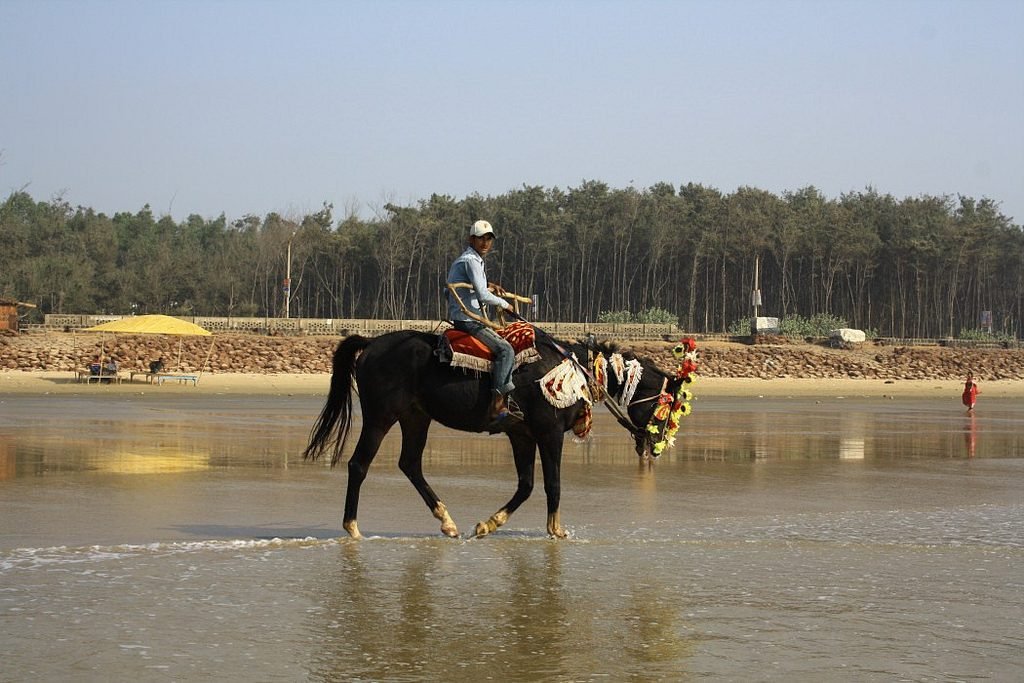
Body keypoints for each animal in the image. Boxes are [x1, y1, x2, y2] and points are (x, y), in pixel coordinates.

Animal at [303, 327, 688, 540]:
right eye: (671, 406)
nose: (656, 446)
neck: (573, 370)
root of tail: (370, 345)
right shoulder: (550, 433)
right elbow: (552, 485)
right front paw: (556, 529)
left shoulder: (522, 436)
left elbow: (526, 485)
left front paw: (489, 524)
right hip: (380, 416)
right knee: (359, 465)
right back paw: (353, 527)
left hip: (416, 417)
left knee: (410, 464)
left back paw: (447, 522)